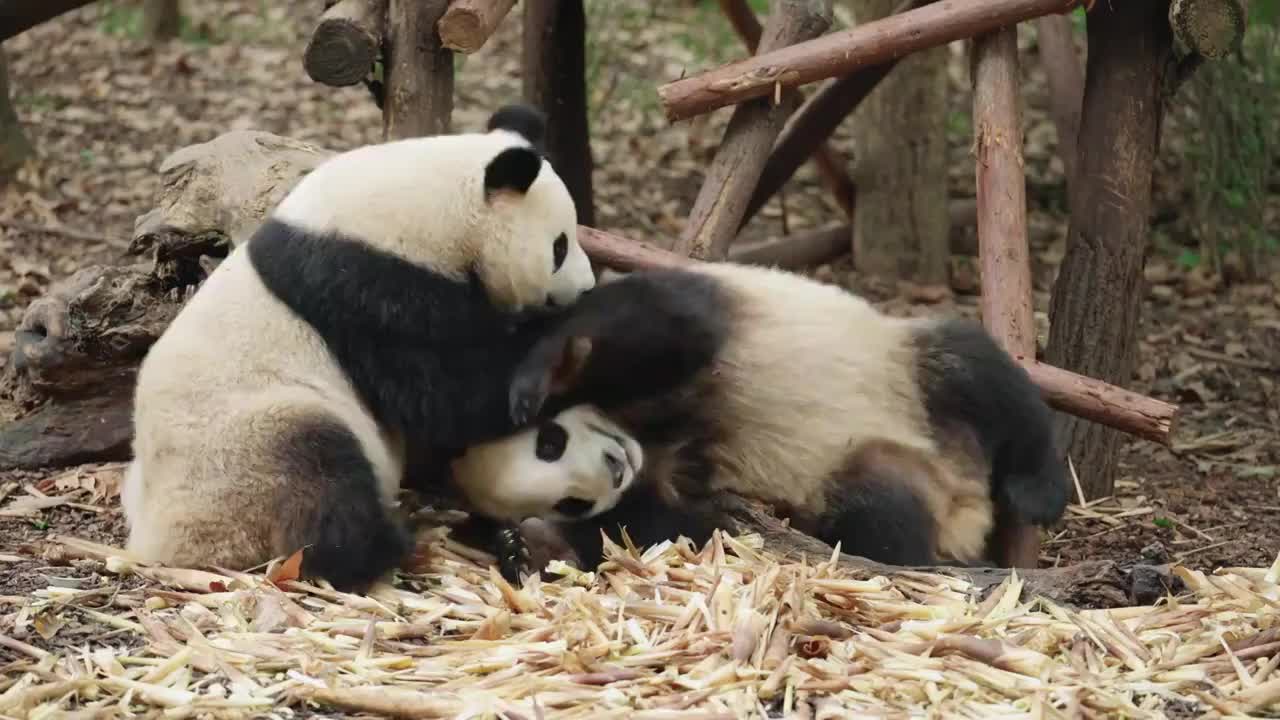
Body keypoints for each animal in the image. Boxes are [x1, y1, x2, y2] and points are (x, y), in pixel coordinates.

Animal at [122, 103, 596, 591]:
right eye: (559, 247)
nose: (586, 287)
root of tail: (160, 545)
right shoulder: (370, 288)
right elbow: (453, 395)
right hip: (249, 447)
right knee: (323, 480)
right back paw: (394, 546)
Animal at [450, 260, 1070, 568]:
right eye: (567, 500)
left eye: (549, 440)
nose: (613, 468)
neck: (645, 431)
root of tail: (964, 496)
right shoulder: (659, 490)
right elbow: (675, 530)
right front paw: (525, 545)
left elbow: (660, 327)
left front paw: (547, 371)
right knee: (876, 502)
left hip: (908, 368)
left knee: (981, 373)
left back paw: (1035, 491)